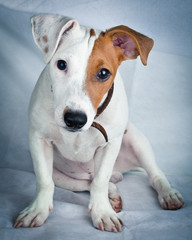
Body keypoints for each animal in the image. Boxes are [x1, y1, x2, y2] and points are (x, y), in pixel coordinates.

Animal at [13, 14, 184, 232]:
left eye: (103, 73)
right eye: (61, 64)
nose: (75, 119)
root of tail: (119, 172)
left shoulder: (110, 145)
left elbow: (100, 181)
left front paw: (103, 213)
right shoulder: (38, 139)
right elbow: (44, 181)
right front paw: (37, 211)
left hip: (136, 141)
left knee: (153, 174)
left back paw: (167, 194)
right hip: (63, 178)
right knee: (86, 183)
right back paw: (112, 195)